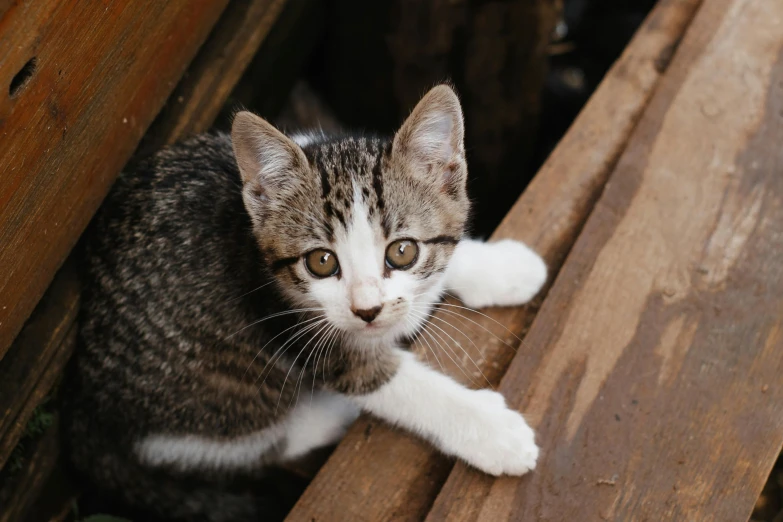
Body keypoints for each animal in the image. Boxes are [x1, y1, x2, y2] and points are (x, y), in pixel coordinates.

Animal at [64, 83, 544, 516]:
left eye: (402, 251)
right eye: (321, 262)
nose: (367, 310)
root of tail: (81, 404)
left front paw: (506, 267)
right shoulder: (294, 330)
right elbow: (394, 384)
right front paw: (492, 431)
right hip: (213, 395)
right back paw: (329, 415)